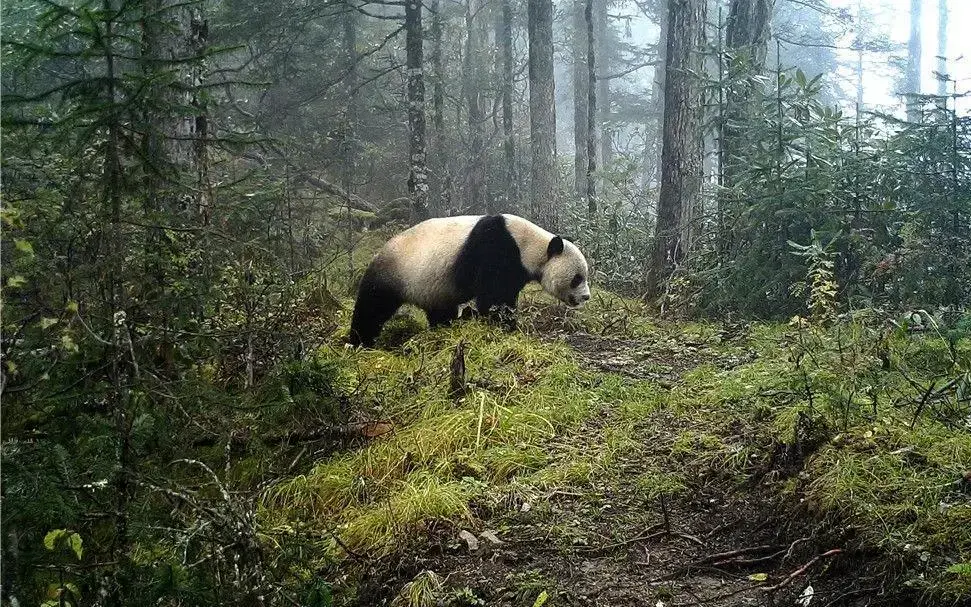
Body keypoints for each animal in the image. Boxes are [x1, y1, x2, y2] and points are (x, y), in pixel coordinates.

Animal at [350, 214, 592, 346]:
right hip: (395, 272)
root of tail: (378, 253)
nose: (586, 297)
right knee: (372, 306)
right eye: (577, 278)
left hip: (433, 286)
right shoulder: (496, 248)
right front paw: (505, 325)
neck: (531, 244)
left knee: (440, 310)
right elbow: (494, 296)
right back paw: (359, 341)